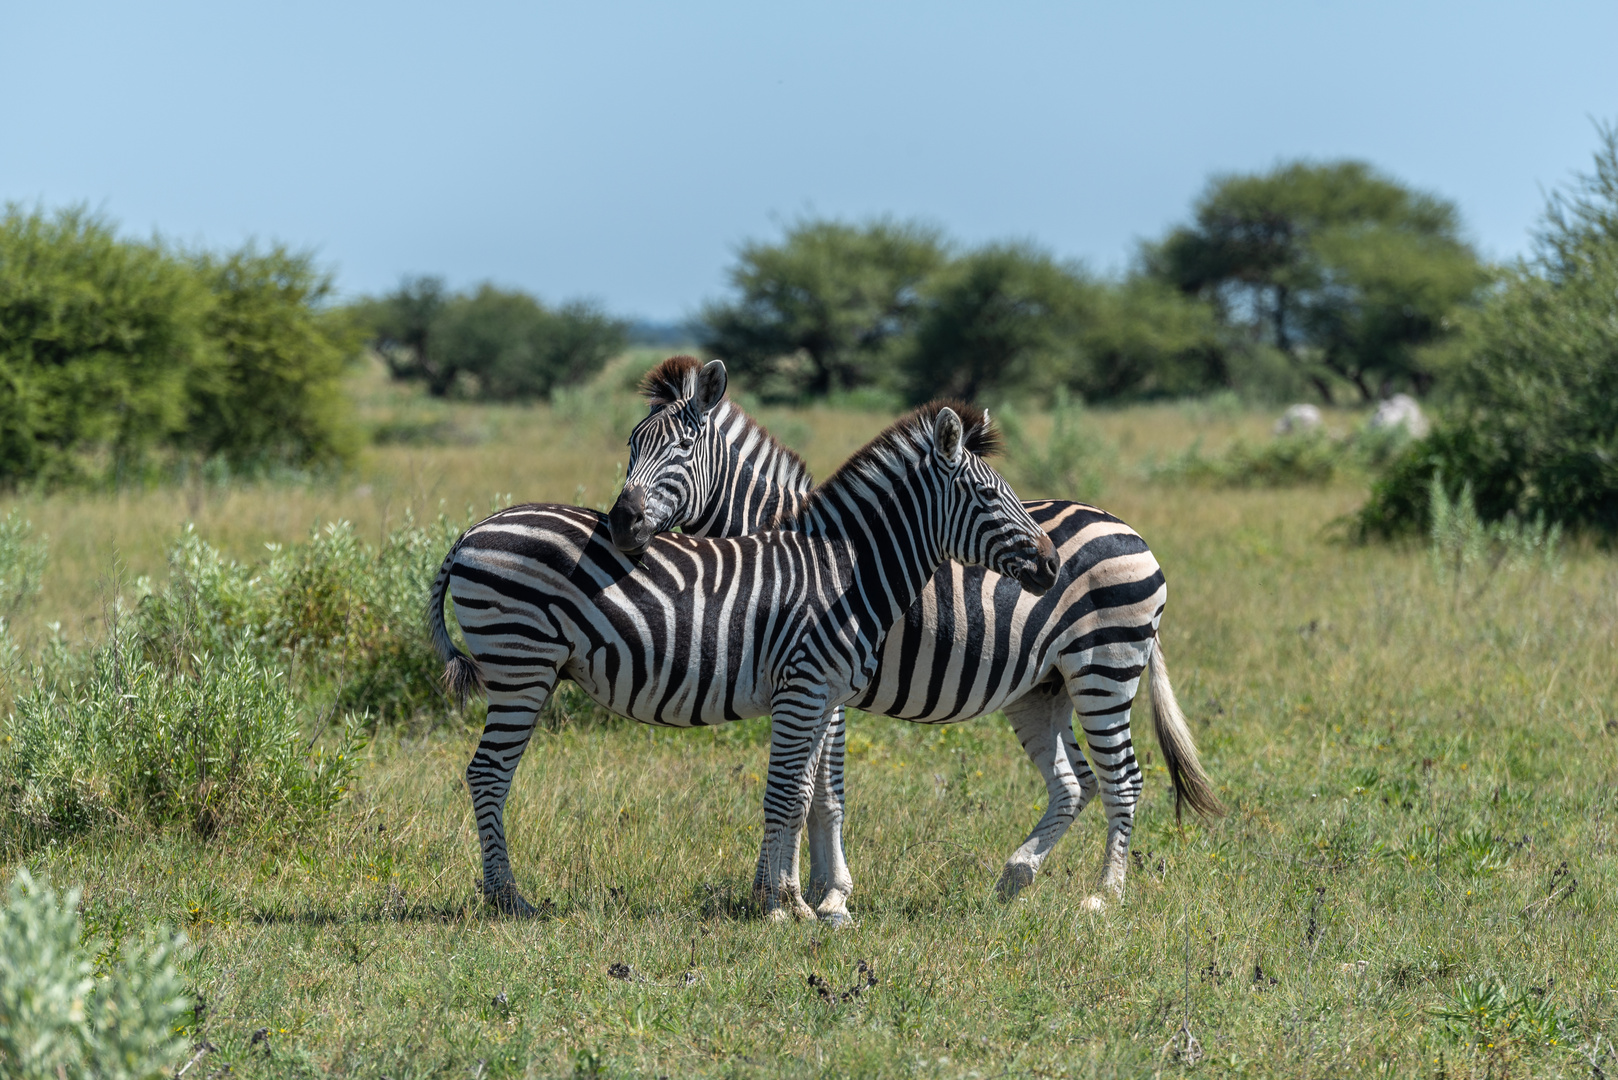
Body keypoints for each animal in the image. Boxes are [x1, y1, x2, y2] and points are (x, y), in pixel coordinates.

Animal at [433, 401, 1061, 926]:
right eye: (988, 497)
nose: (1053, 565)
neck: (846, 573)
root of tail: (472, 530)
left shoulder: (822, 695)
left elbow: (803, 793)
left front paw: (792, 900)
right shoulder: (804, 687)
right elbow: (785, 793)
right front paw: (778, 905)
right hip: (520, 666)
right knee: (488, 772)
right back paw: (506, 899)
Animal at [608, 359, 1223, 919]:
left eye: (682, 448)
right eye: (631, 444)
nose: (620, 523)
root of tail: (1131, 531)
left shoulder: (821, 684)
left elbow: (821, 791)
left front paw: (827, 895)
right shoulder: (812, 682)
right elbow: (809, 787)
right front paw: (810, 890)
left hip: (1105, 670)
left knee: (1125, 781)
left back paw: (1104, 897)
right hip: (1045, 688)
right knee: (1077, 783)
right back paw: (1015, 878)